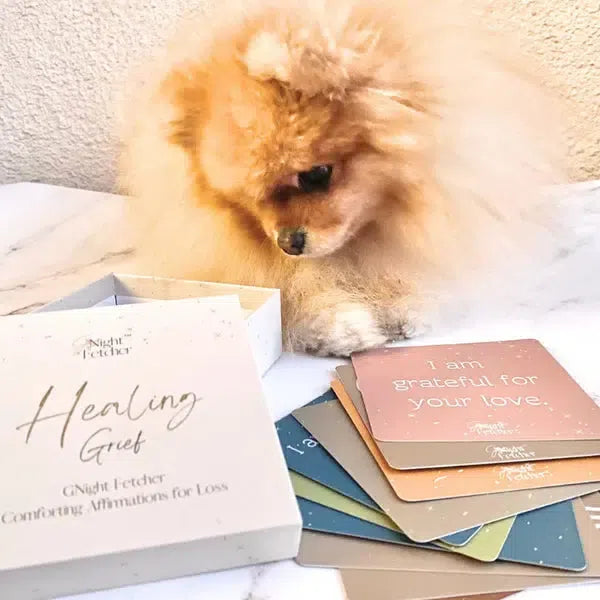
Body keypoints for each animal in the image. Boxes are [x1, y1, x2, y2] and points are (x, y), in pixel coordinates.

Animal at [120, 0, 564, 356]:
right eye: (248, 200)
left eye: (316, 175)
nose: (287, 242)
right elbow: (297, 293)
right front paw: (342, 327)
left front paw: (406, 304)